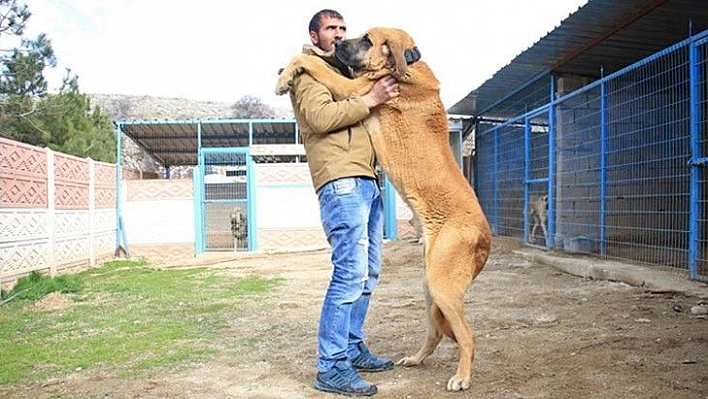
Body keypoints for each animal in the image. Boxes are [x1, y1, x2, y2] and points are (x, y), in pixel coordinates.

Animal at [276, 28, 492, 394]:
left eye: (366, 39)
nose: (336, 43)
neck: (406, 65)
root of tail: (487, 238)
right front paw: (287, 73)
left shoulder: (354, 89)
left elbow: (310, 62)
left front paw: (286, 75)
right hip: (430, 287)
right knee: (436, 332)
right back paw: (416, 359)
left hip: (442, 286)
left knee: (468, 336)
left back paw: (462, 377)